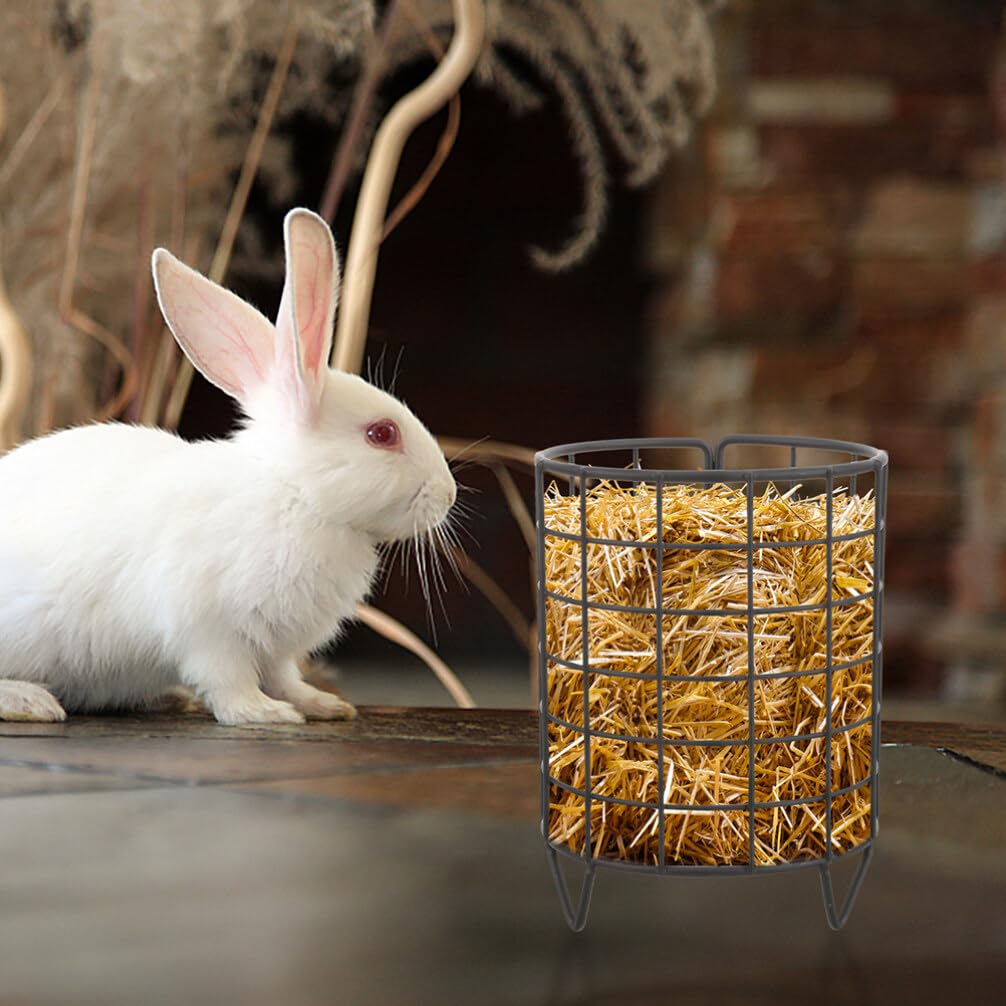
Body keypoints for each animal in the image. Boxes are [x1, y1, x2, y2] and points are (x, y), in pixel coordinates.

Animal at [0, 208, 456, 725]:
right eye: (382, 434)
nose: (449, 494)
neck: (294, 495)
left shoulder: (276, 648)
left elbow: (285, 677)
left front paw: (323, 706)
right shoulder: (210, 630)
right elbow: (228, 680)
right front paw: (266, 714)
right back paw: (32, 702)